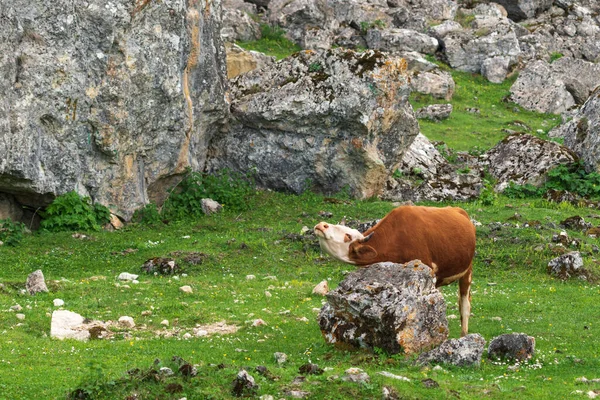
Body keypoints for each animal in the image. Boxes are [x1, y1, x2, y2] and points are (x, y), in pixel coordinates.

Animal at [314, 205, 478, 336]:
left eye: (348, 236)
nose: (322, 225)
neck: (397, 238)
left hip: (467, 270)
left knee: (465, 305)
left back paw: (464, 334)